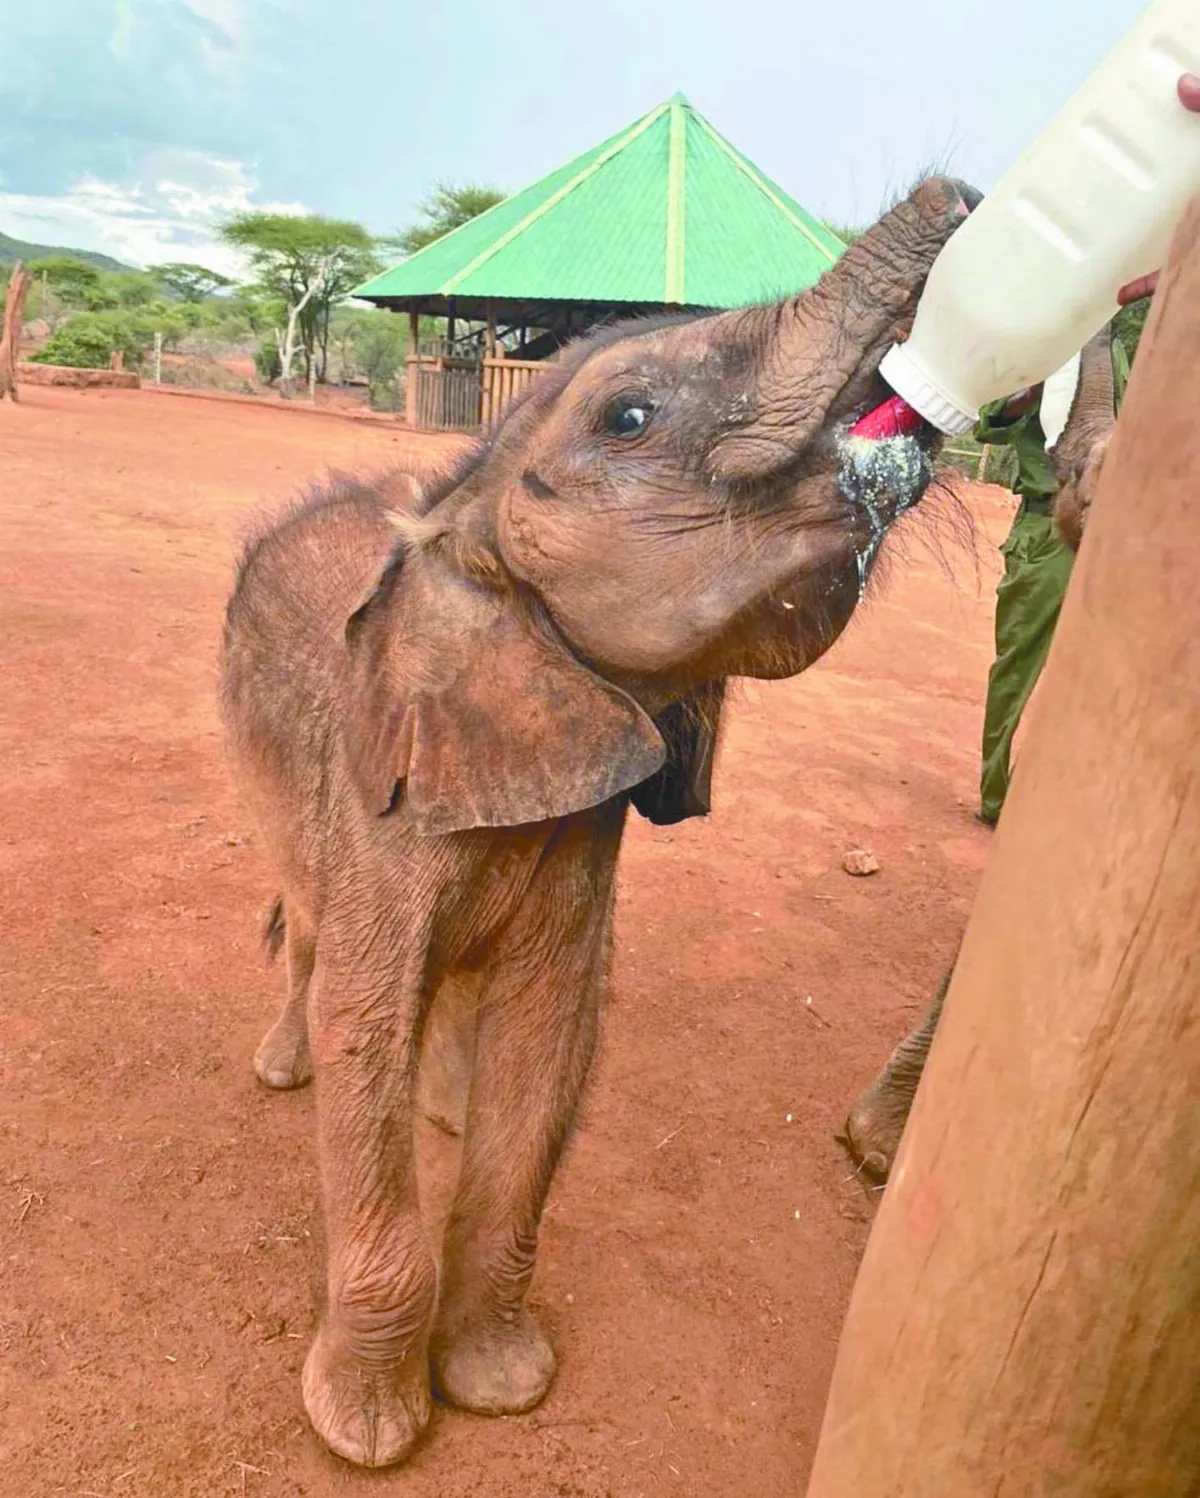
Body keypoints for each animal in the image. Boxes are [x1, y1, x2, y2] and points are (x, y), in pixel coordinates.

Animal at [219, 175, 974, 1469]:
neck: (456, 516)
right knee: (307, 929)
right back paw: (287, 1070)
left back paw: (446, 1109)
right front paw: (369, 1434)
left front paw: (502, 1384)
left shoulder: (583, 824)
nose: (959, 193)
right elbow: (367, 1027)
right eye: (630, 415)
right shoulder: (382, 808)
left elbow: (552, 1039)